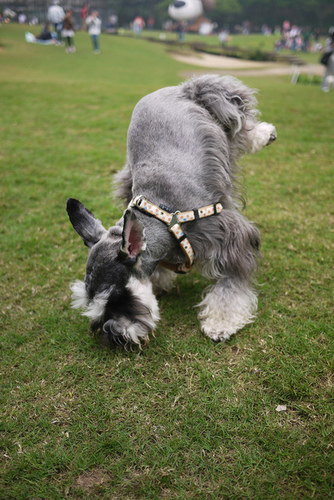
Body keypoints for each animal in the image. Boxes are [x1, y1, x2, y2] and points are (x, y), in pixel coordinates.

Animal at [66, 75, 276, 344]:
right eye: (88, 301)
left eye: (118, 299)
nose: (112, 337)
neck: (164, 216)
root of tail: (176, 88)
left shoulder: (231, 238)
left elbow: (231, 286)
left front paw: (221, 323)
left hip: (217, 104)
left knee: (239, 122)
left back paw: (264, 133)